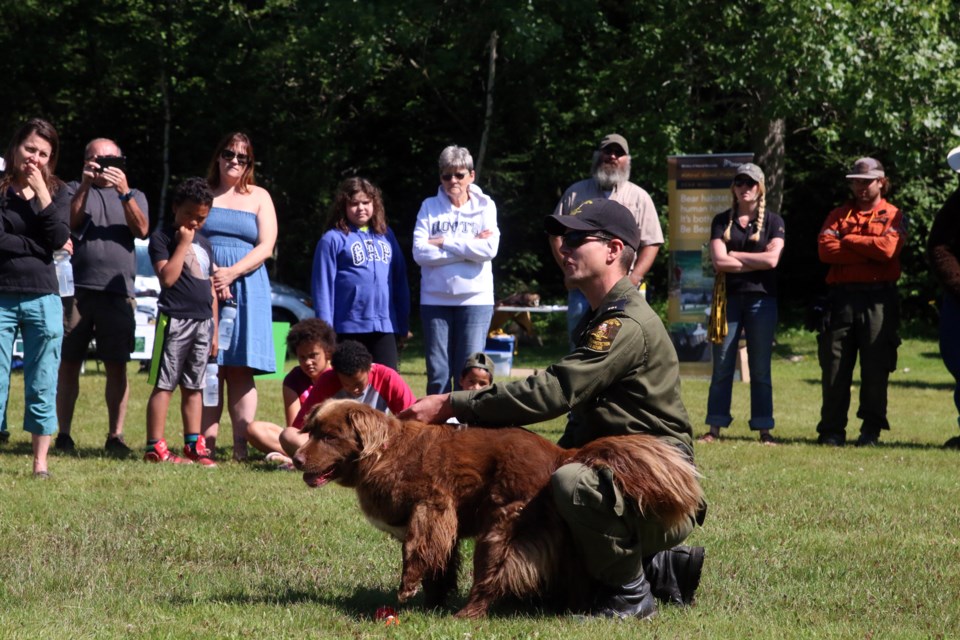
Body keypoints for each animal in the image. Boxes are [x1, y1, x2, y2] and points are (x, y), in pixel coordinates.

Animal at [292, 400, 704, 616]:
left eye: (329, 436)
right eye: (311, 431)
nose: (295, 459)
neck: (386, 453)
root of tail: (560, 454)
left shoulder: (433, 507)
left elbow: (417, 550)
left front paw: (408, 589)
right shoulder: (446, 523)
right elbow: (440, 565)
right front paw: (431, 600)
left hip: (500, 526)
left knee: (491, 577)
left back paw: (465, 615)